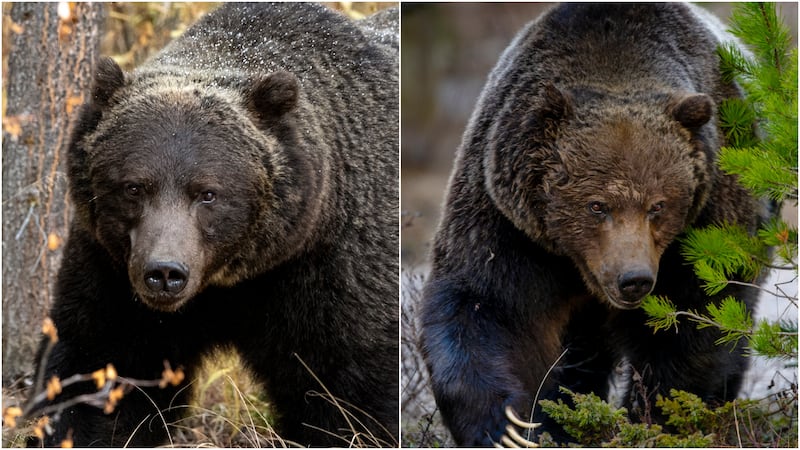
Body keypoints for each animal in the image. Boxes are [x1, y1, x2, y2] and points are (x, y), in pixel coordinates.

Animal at [27, 3, 398, 447]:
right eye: (133, 187)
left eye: (207, 193)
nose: (164, 273)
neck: (228, 281)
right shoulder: (112, 269)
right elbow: (95, 366)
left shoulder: (328, 272)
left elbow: (344, 394)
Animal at [418, 3, 766, 446]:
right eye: (597, 205)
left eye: (658, 206)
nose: (634, 279)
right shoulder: (509, 223)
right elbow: (485, 305)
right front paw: (508, 425)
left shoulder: (708, 219)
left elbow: (696, 317)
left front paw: (653, 417)